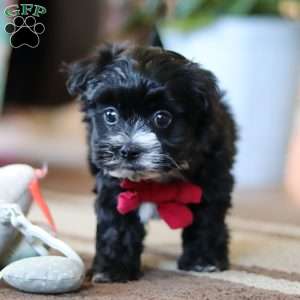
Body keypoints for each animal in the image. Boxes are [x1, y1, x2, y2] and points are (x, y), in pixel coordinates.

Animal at [65, 43, 237, 282]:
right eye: (110, 115)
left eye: (162, 118)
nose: (128, 150)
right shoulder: (115, 188)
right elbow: (116, 227)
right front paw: (113, 270)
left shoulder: (212, 180)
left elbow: (206, 221)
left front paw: (203, 261)